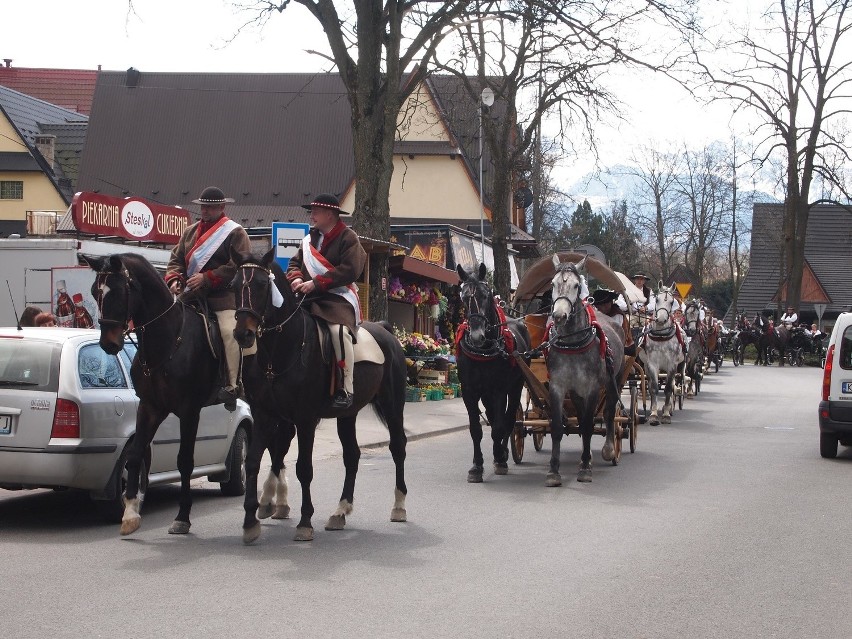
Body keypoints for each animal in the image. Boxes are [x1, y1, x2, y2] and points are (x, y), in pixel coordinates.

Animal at [85, 252, 245, 536]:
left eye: (119, 290)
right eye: (95, 291)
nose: (108, 344)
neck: (169, 340)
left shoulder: (189, 411)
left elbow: (185, 461)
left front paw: (182, 516)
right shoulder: (150, 407)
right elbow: (135, 454)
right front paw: (130, 514)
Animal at [231, 251, 408, 544]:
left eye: (262, 285)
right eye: (233, 284)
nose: (242, 334)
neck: (279, 353)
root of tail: (386, 330)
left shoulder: (305, 419)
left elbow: (304, 468)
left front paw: (304, 522)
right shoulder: (266, 414)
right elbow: (255, 460)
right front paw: (250, 521)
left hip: (393, 406)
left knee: (398, 448)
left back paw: (399, 506)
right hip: (348, 414)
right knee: (352, 455)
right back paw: (340, 511)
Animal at [456, 264, 528, 480]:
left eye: (485, 295)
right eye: (463, 297)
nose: (476, 336)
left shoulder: (498, 390)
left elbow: (498, 427)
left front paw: (500, 458)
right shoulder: (469, 391)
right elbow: (475, 429)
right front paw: (476, 466)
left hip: (515, 386)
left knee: (509, 419)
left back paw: (502, 453)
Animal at [636, 284, 684, 424]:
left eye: (672, 302)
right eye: (657, 299)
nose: (661, 319)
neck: (662, 336)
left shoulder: (672, 365)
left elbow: (668, 389)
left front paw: (666, 414)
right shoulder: (652, 364)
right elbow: (654, 388)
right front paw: (653, 414)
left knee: (673, 385)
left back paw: (669, 408)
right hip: (647, 367)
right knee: (651, 384)